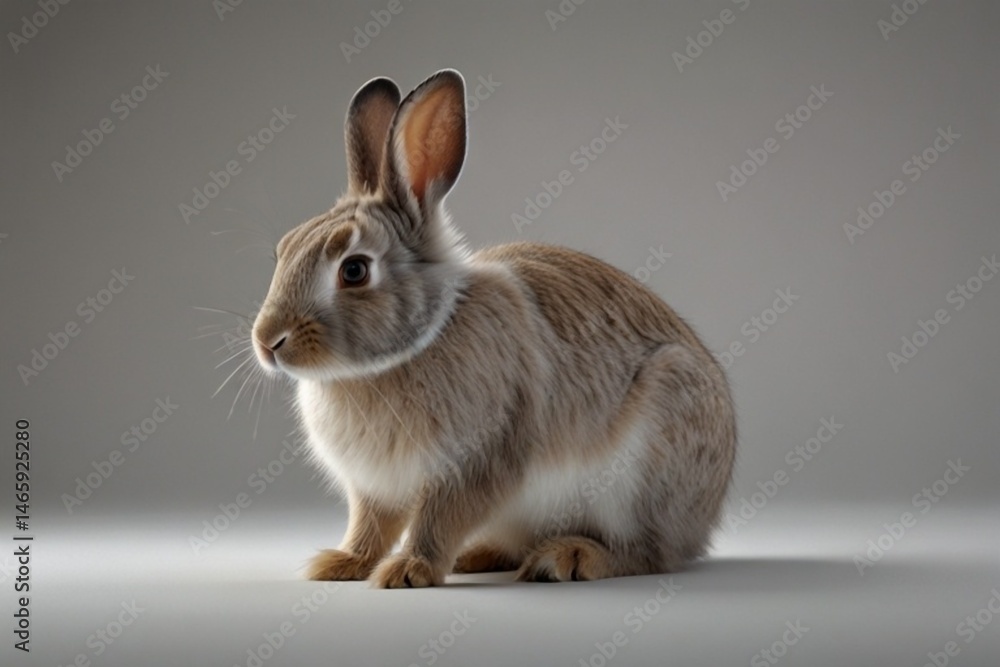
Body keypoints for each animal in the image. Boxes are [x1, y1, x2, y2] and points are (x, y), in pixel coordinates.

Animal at [251, 69, 736, 588]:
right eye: (283, 250)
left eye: (355, 271)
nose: (268, 342)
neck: (417, 342)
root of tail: (703, 521)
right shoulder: (373, 488)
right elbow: (370, 525)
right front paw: (341, 564)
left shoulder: (475, 461)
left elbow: (439, 518)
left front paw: (407, 571)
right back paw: (481, 555)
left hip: (645, 471)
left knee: (648, 553)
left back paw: (566, 559)